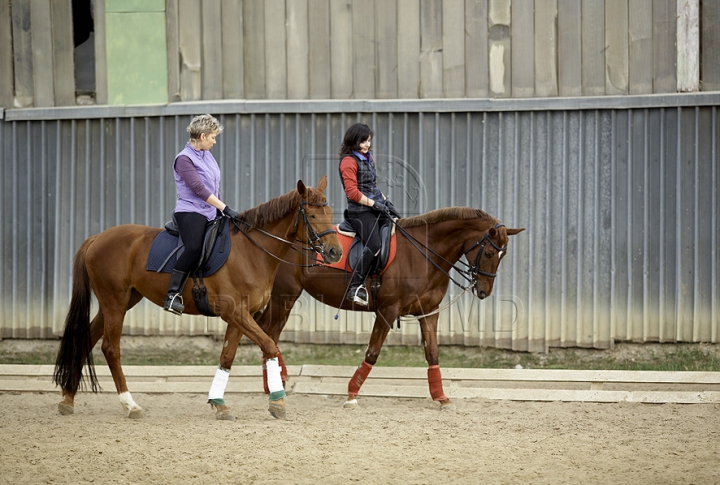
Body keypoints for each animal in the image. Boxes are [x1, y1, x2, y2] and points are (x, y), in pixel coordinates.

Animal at [222, 206, 520, 406]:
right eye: (490, 252)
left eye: (504, 255)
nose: (483, 291)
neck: (423, 254)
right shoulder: (388, 311)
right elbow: (373, 352)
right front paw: (352, 394)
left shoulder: (428, 313)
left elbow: (433, 353)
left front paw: (441, 396)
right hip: (284, 296)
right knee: (265, 332)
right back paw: (274, 383)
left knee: (268, 333)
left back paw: (275, 383)